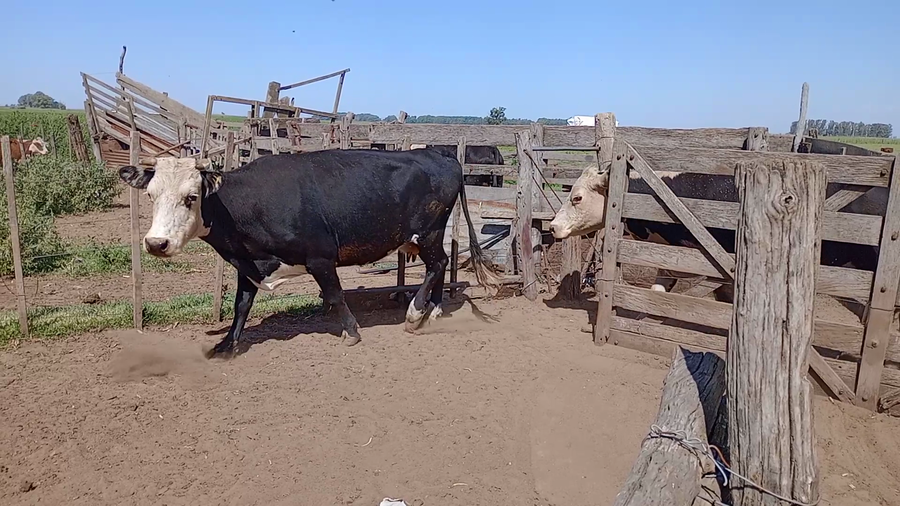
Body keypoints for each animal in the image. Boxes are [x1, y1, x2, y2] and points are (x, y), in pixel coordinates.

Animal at [117, 150, 502, 358]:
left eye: (191, 197)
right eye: (150, 195)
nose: (156, 243)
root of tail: (439, 154)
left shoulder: (320, 257)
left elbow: (335, 294)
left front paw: (351, 332)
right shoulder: (247, 264)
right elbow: (241, 305)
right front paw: (226, 344)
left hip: (429, 233)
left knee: (439, 264)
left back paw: (415, 313)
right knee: (440, 265)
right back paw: (433, 310)